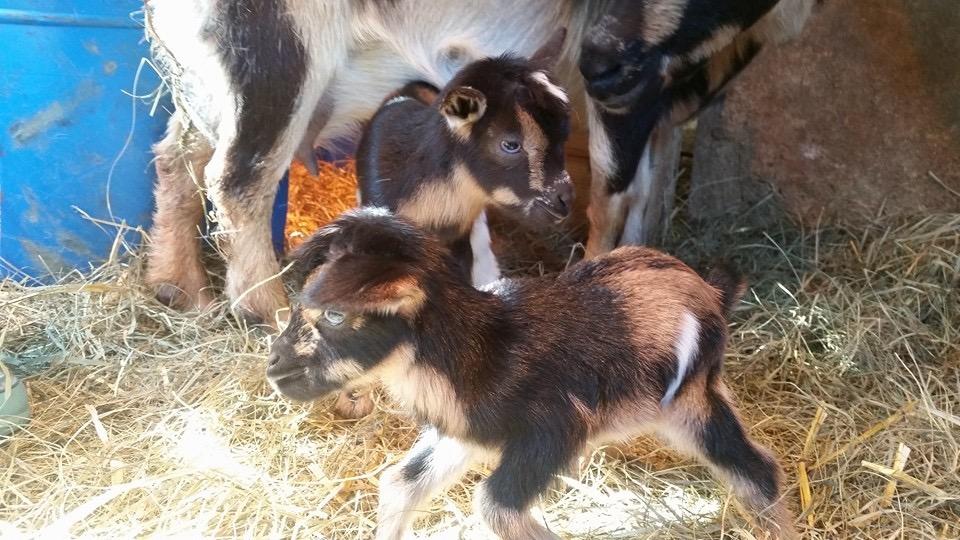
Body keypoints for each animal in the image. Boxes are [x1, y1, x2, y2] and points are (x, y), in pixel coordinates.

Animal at [266, 208, 797, 540]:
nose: (274, 367)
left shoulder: (554, 430)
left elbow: (494, 506)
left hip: (691, 403)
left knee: (758, 470)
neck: (481, 351)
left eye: (334, 314)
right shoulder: (465, 434)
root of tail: (712, 293)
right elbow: (400, 484)